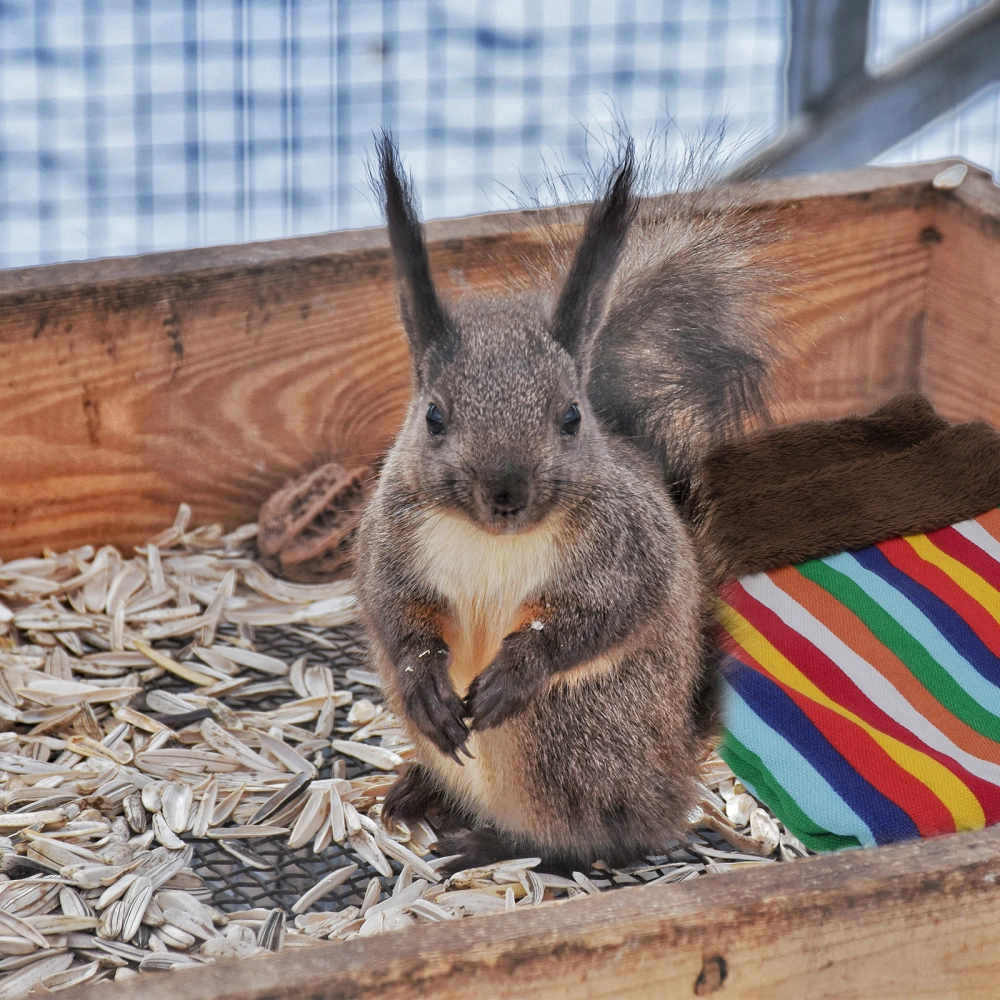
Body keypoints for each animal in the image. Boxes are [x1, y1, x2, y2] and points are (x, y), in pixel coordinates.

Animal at [356, 135, 776, 876]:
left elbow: (607, 612)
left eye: (572, 417)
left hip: (565, 733)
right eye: (433, 416)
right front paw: (423, 675)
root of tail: (673, 773)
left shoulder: (629, 547)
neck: (490, 542)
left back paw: (500, 843)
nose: (505, 495)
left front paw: (521, 666)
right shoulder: (392, 537)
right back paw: (419, 790)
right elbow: (394, 609)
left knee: (603, 837)